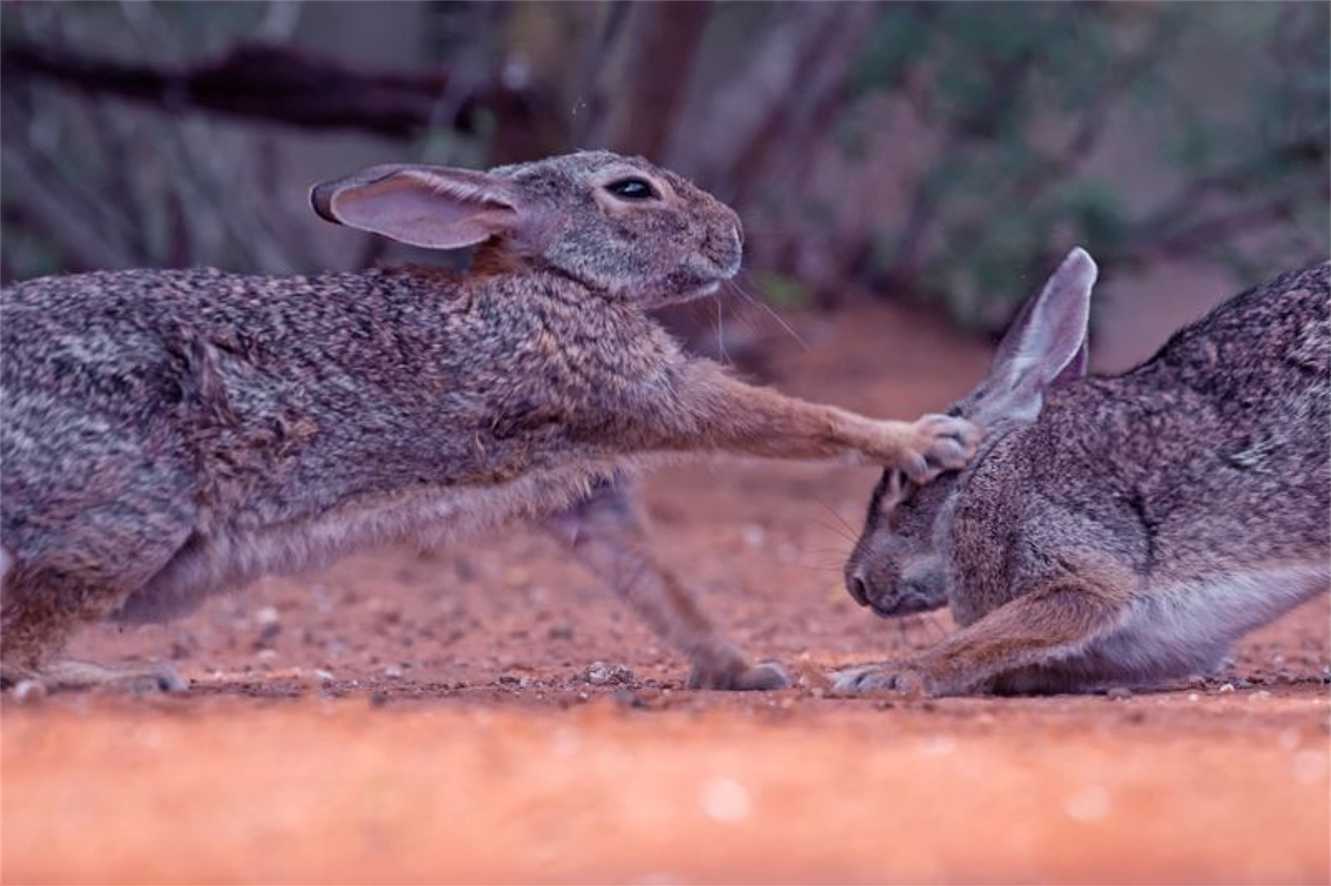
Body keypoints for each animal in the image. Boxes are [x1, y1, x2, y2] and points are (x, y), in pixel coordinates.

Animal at [0, 150, 979, 691]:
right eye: (632, 190)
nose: (733, 236)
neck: (553, 277)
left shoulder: (587, 489)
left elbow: (652, 580)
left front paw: (736, 672)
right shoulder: (636, 385)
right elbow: (786, 419)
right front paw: (923, 439)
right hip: (127, 519)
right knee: (19, 661)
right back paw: (131, 677)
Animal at [835, 246, 1325, 691]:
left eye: (909, 479)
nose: (855, 583)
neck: (985, 473)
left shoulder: (1079, 572)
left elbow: (986, 637)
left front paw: (883, 674)